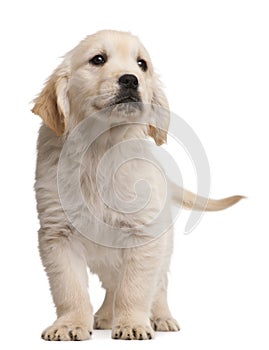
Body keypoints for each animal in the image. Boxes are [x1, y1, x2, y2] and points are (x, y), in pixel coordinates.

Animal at [32, 30, 242, 342]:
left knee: (158, 285)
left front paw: (132, 323)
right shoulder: (57, 233)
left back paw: (161, 318)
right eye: (98, 59)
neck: (100, 150)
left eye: (142, 64)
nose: (131, 79)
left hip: (163, 247)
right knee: (112, 284)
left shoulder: (144, 235)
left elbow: (135, 287)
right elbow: (69, 288)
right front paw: (70, 324)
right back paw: (105, 316)